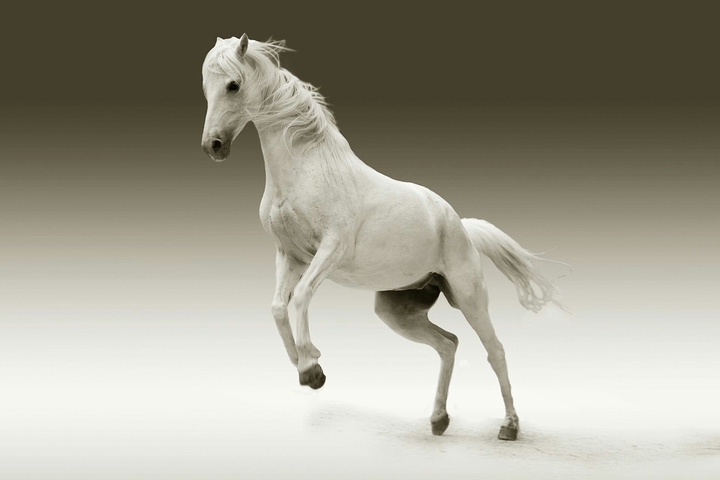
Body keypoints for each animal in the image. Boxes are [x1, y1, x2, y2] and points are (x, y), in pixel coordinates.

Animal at [200, 34, 568, 441]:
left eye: (233, 85)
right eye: (206, 87)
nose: (213, 145)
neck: (306, 170)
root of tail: (460, 225)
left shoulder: (330, 250)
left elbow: (301, 298)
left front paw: (311, 367)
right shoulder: (290, 255)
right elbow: (279, 307)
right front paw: (307, 366)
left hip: (469, 297)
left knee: (496, 351)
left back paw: (509, 426)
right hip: (398, 311)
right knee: (448, 344)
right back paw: (439, 419)